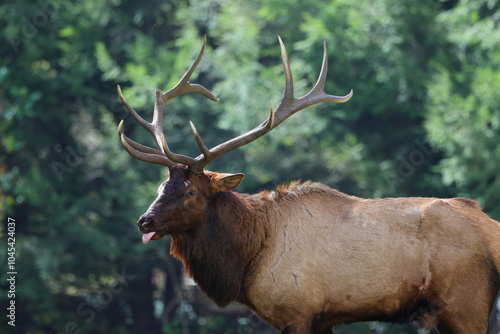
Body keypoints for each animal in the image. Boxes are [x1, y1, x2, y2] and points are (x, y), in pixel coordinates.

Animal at [116, 35, 500, 332]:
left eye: (191, 191)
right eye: (160, 189)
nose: (144, 221)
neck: (248, 258)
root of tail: (491, 230)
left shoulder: (297, 310)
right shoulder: (324, 318)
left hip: (465, 303)